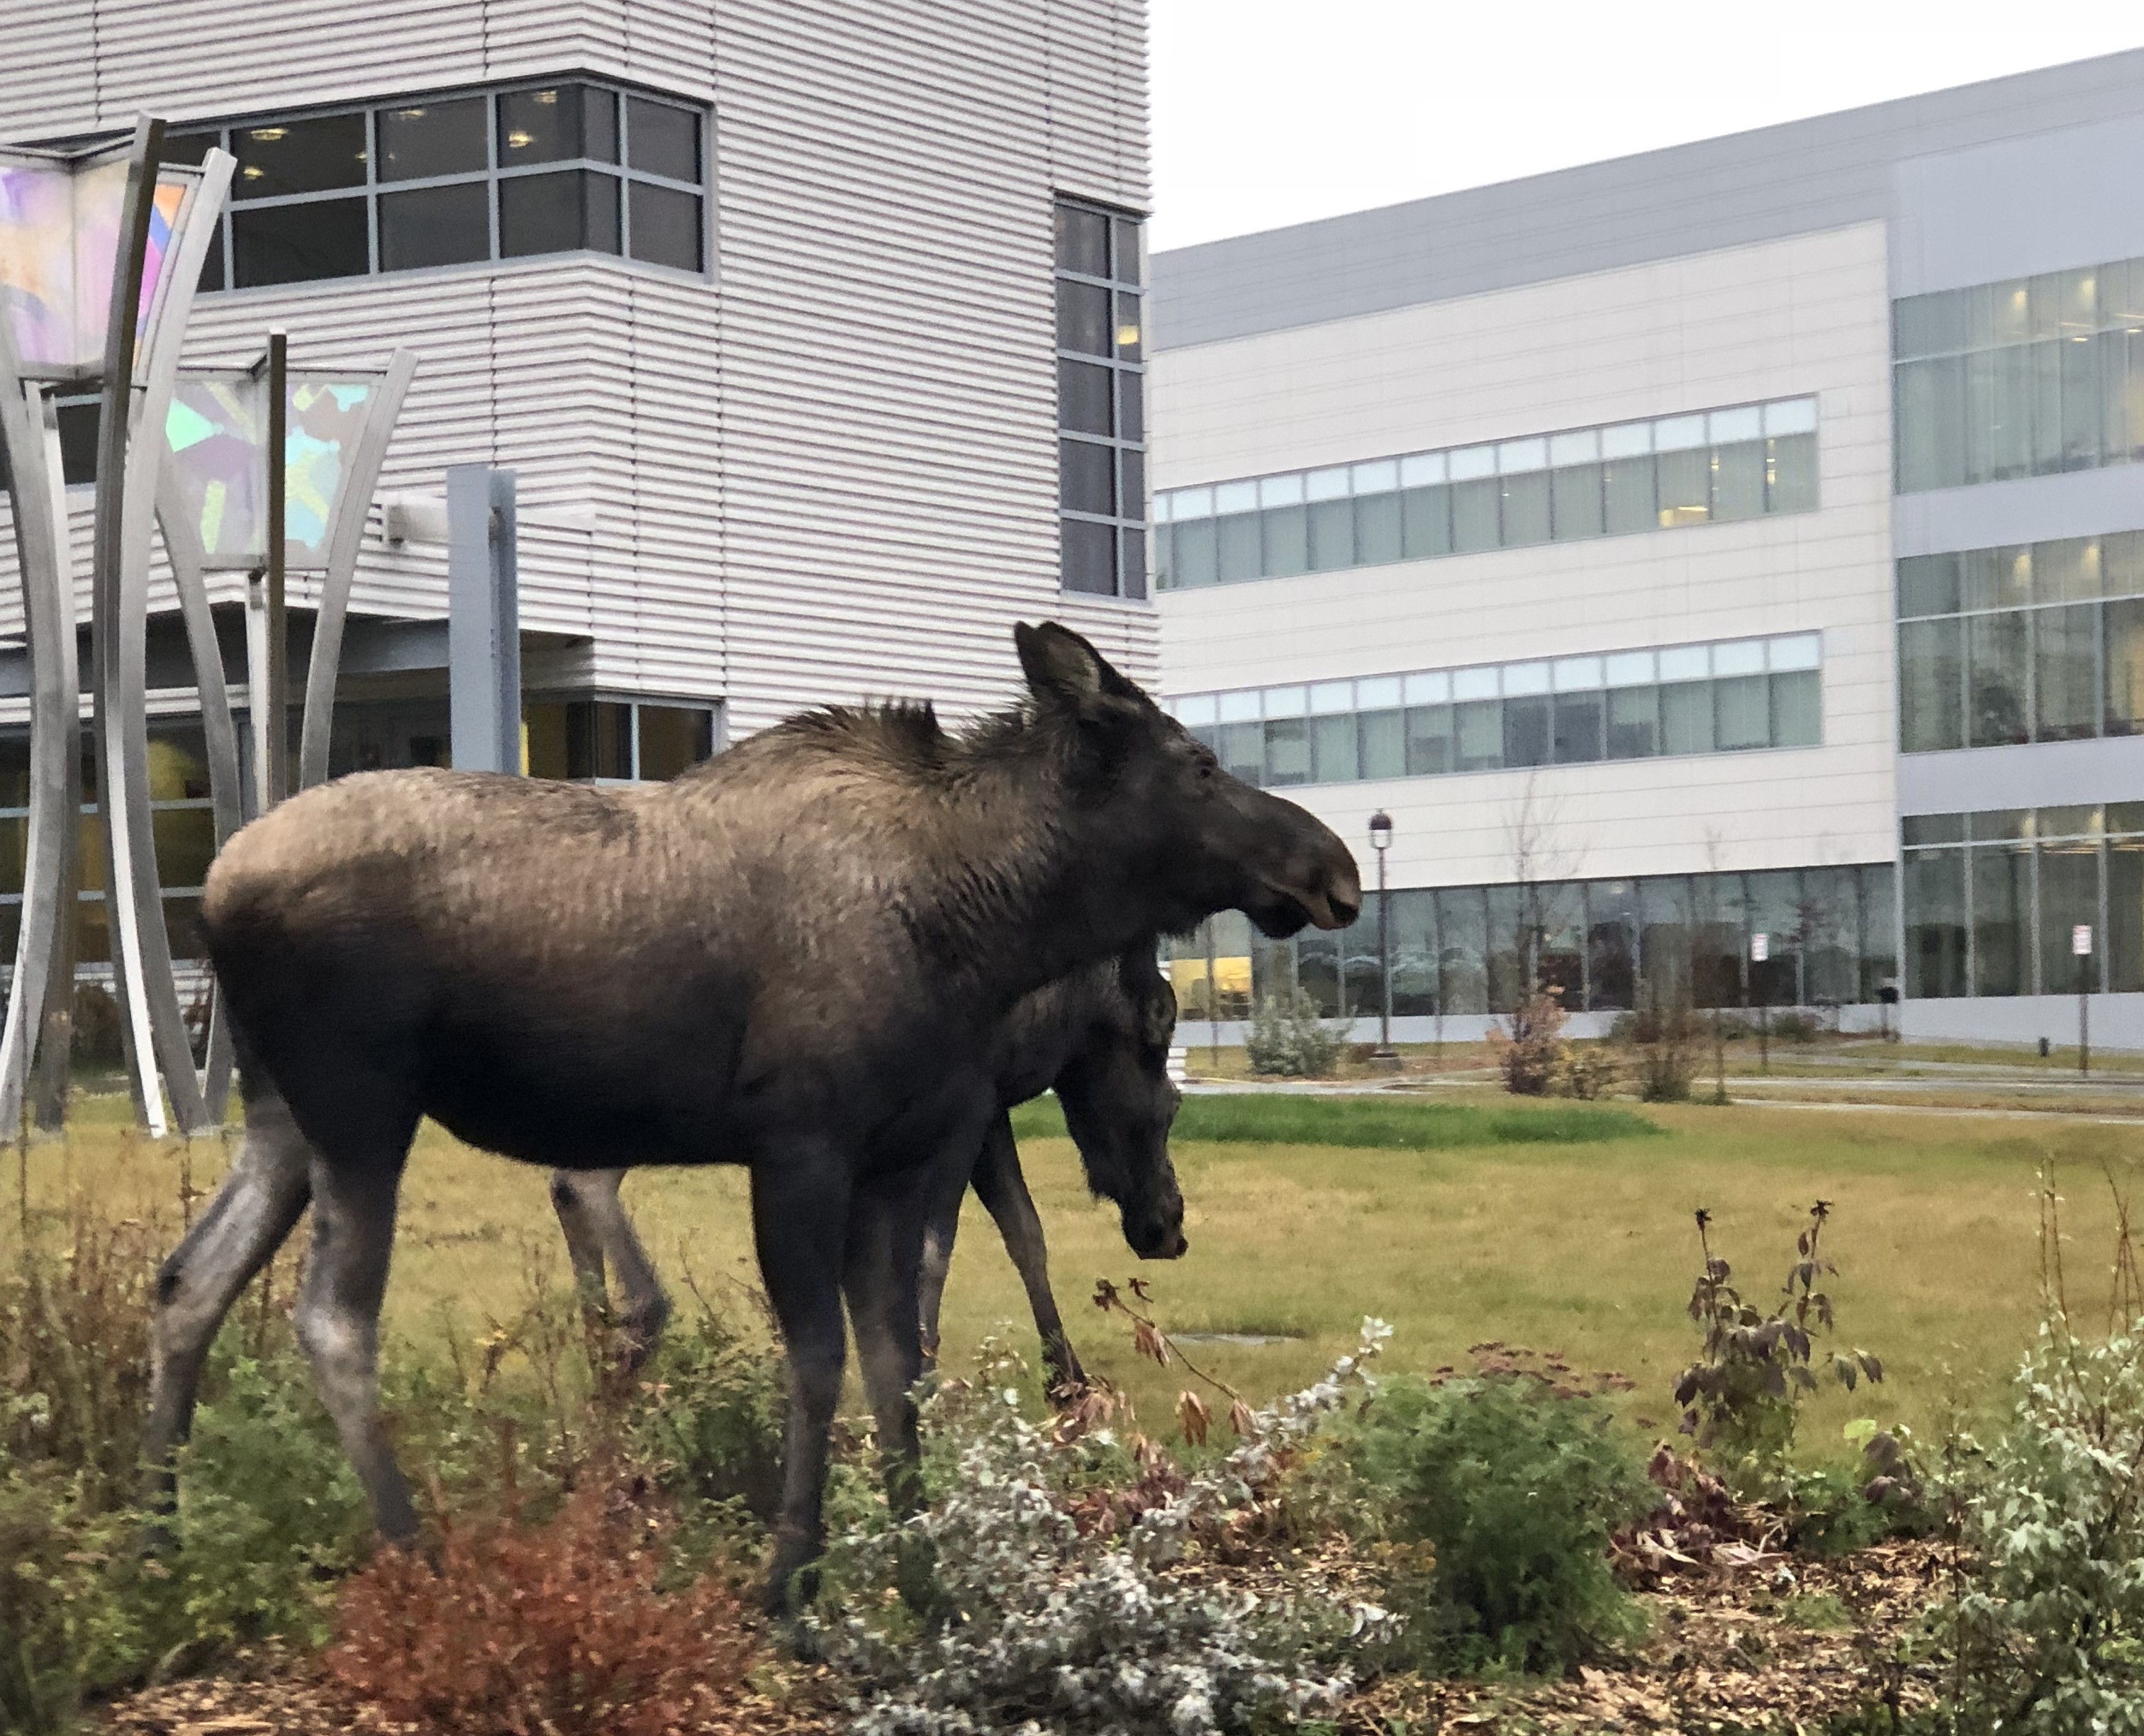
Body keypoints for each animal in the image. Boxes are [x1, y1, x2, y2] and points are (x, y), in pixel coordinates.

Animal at [151, 617, 1355, 1603]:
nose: (1334, 865)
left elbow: (895, 1360)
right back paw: (414, 1560)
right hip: (364, 1110)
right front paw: (790, 1587)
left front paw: (923, 1575)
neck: (983, 927)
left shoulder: (897, 1155)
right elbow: (826, 1355)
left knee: (189, 1284)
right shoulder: (807, 1146)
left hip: (282, 1118)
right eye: (1200, 764)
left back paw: (156, 1536)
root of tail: (211, 893)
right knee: (332, 1321)